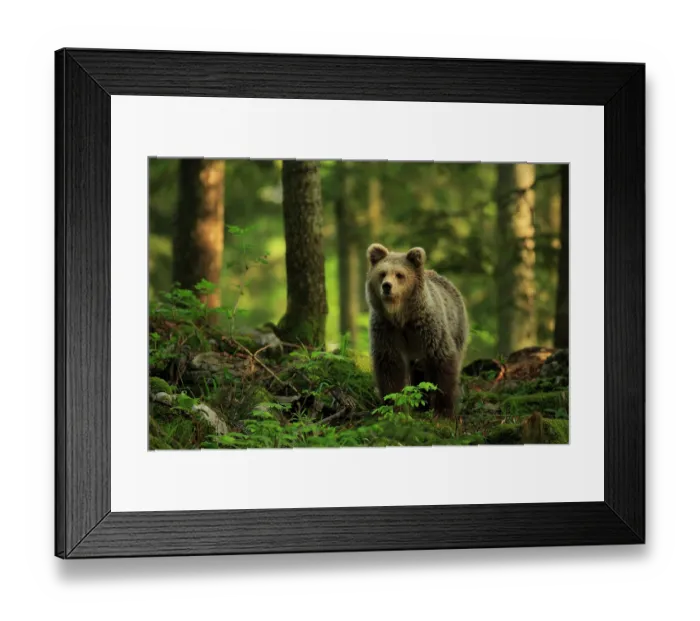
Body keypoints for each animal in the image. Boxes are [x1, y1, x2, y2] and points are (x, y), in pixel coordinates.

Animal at [365, 243, 468, 417]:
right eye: (382, 273)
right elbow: (390, 366)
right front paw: (395, 408)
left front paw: (444, 412)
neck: (402, 317)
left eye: (399, 275)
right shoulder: (387, 330)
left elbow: (443, 361)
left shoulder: (428, 328)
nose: (387, 286)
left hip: (457, 327)